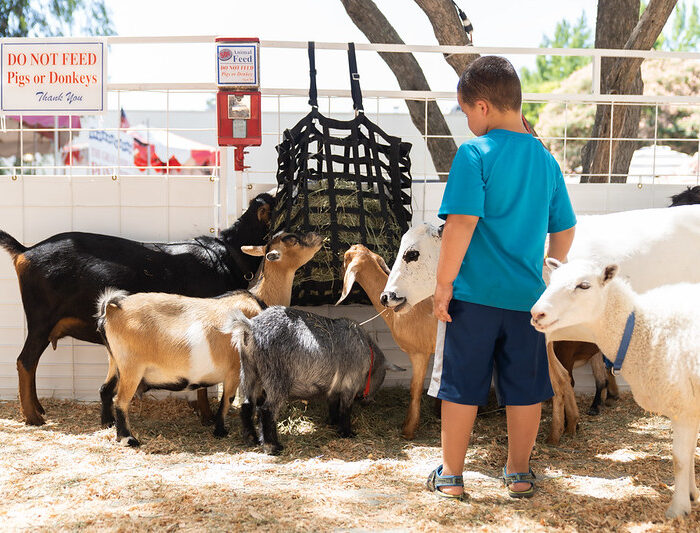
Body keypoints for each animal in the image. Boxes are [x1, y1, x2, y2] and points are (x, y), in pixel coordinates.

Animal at [0, 191, 274, 424]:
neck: (227, 255)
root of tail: (26, 252)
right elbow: (203, 381)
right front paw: (207, 416)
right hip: (41, 320)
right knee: (25, 362)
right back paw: (32, 416)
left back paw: (38, 408)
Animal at [97, 233, 324, 444]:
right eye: (293, 241)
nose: (318, 237)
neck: (258, 301)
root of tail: (112, 309)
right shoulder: (235, 370)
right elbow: (228, 400)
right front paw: (221, 430)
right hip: (132, 367)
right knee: (120, 400)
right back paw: (128, 438)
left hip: (115, 362)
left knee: (105, 389)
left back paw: (107, 424)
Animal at [532, 258, 696, 520]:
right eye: (552, 280)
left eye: (584, 285)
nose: (537, 313)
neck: (644, 330)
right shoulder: (690, 407)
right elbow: (689, 456)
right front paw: (690, 496)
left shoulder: (683, 405)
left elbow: (681, 459)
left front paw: (678, 509)